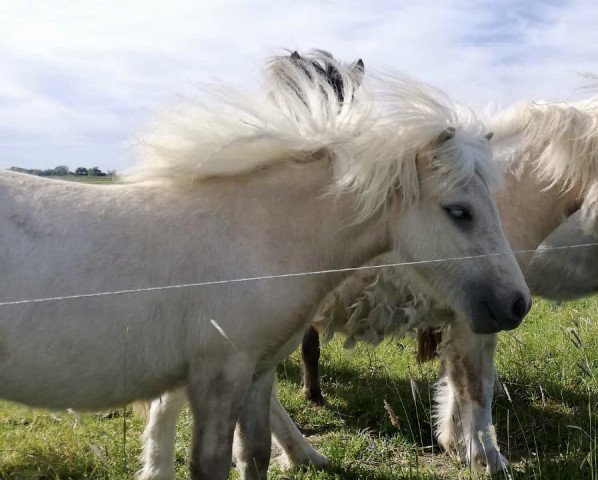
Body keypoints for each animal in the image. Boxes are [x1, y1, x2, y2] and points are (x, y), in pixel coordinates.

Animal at [0, 50, 532, 478]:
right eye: (458, 211)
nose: (517, 304)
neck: (258, 237)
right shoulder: (219, 377)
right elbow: (212, 464)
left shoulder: (255, 374)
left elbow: (253, 454)